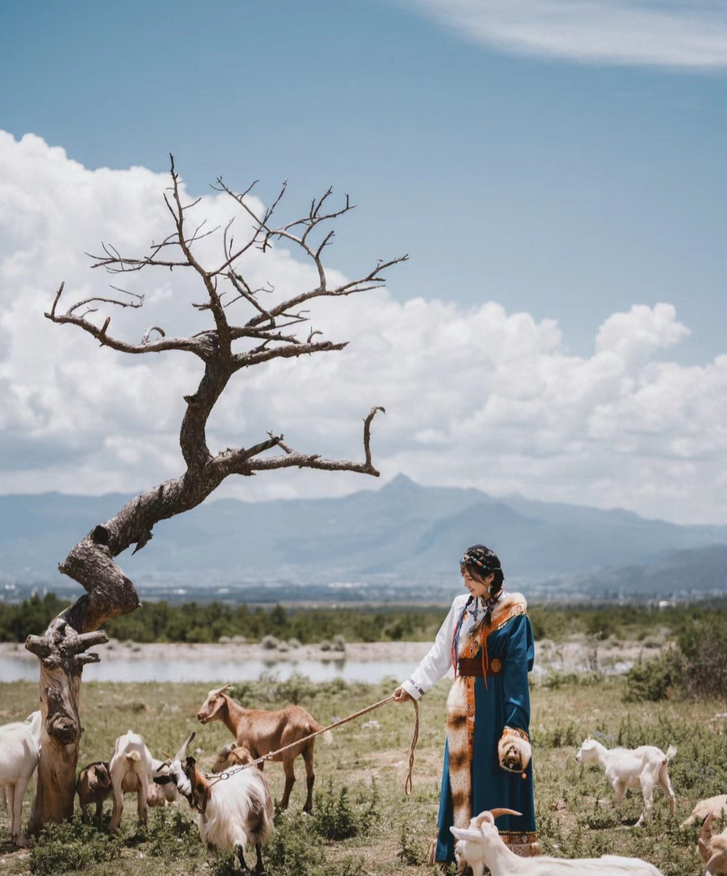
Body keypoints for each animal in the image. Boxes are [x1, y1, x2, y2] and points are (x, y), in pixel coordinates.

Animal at [0, 712, 42, 848]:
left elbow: (12, 808)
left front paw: (12, 836)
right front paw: (20, 839)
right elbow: (18, 808)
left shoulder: (10, 783)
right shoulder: (23, 779)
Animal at [156, 728, 272, 872]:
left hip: (258, 816)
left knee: (257, 841)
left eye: (186, 769)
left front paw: (245, 870)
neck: (210, 795)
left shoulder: (232, 826)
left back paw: (260, 867)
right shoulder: (210, 834)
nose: (181, 787)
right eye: (172, 776)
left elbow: (239, 849)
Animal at [199, 684, 336, 816]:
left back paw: (282, 806)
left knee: (290, 778)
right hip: (308, 749)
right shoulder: (260, 757)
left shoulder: (250, 751)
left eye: (212, 700)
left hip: (288, 753)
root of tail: (307, 721)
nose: (199, 715)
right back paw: (307, 808)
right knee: (310, 776)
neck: (242, 719)